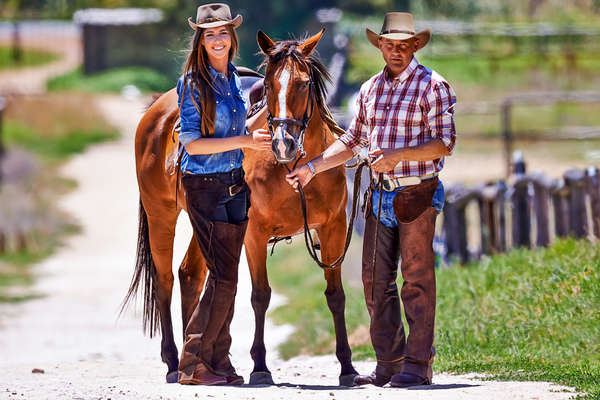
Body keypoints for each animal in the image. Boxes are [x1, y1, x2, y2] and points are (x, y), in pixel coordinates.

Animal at [122, 29, 356, 386]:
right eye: (270, 85)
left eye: (303, 83)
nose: (284, 144)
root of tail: (156, 111)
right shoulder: (254, 235)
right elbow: (260, 296)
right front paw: (260, 366)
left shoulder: (334, 229)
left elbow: (336, 296)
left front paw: (348, 367)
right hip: (160, 215)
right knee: (164, 280)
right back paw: (174, 362)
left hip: (204, 224)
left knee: (190, 275)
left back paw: (196, 361)